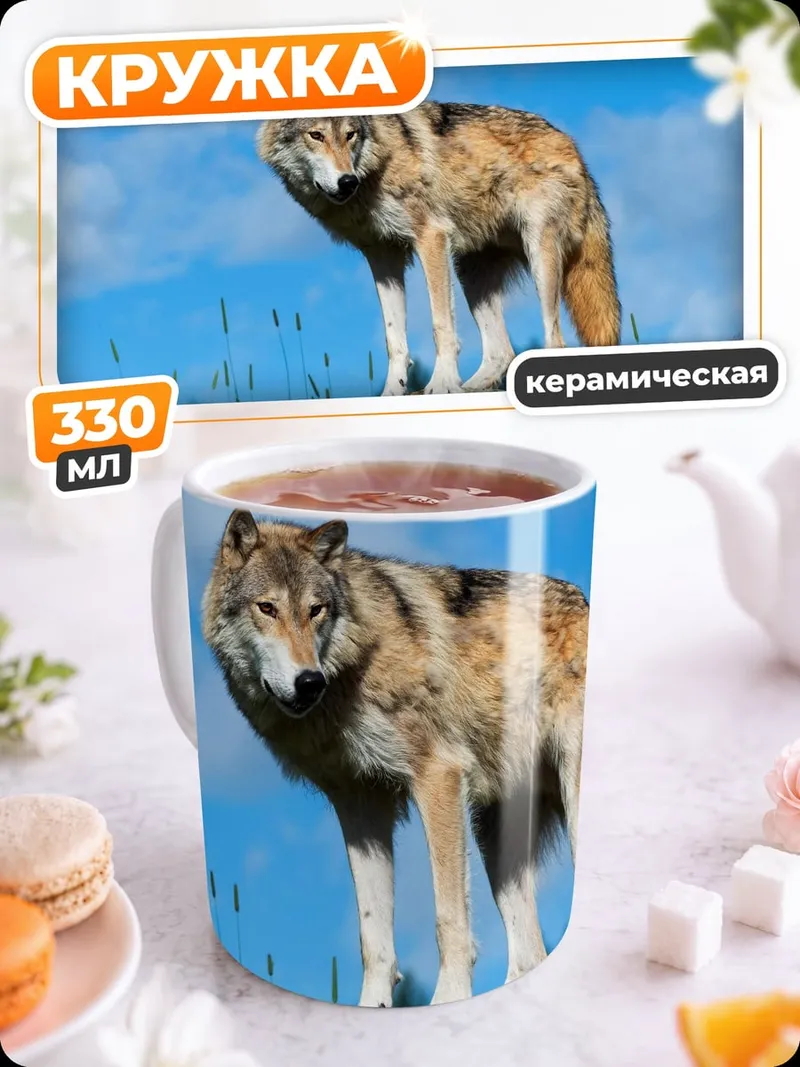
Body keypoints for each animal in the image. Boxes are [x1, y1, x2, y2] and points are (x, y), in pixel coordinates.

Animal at [202, 511, 589, 1007]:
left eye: (315, 610)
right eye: (266, 608)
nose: (309, 681)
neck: (351, 672)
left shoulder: (438, 777)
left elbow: (450, 920)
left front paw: (448, 1001)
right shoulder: (360, 806)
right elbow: (374, 938)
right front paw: (373, 1008)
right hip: (495, 837)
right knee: (529, 955)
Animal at [256, 102, 621, 397]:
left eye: (351, 135)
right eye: (316, 135)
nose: (348, 181)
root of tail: (571, 143)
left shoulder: (431, 237)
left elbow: (440, 325)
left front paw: (442, 384)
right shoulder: (382, 255)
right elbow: (394, 339)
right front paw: (392, 393)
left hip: (538, 255)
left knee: (553, 340)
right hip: (470, 273)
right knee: (502, 351)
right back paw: (470, 387)